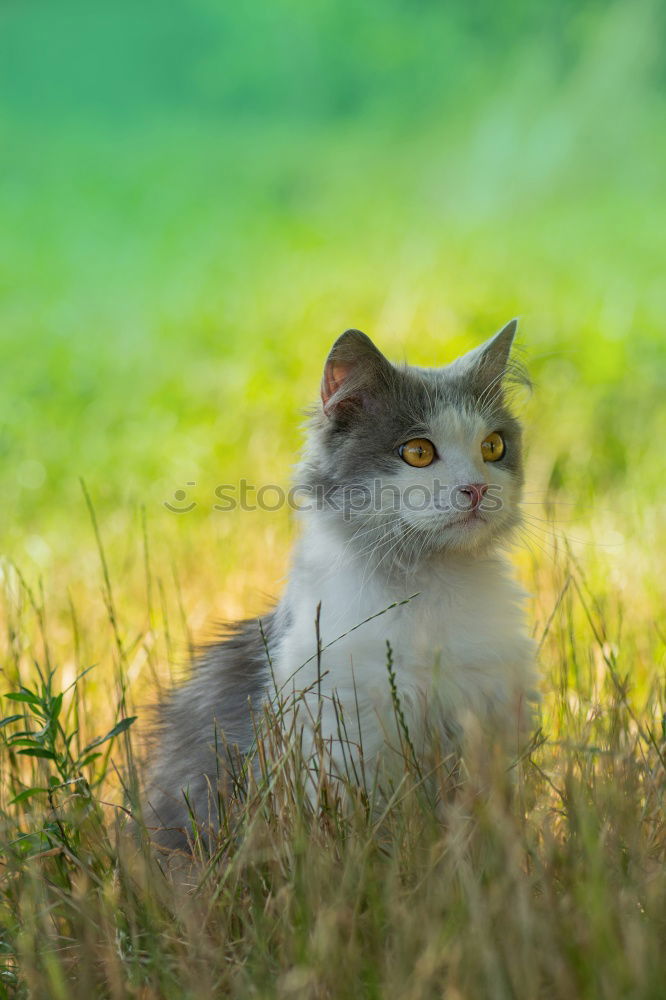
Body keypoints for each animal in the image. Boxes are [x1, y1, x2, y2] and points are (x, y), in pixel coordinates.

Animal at [144, 322, 536, 852]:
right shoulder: (341, 727)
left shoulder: (486, 715)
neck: (428, 583)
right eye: (418, 452)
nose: (477, 489)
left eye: (493, 447)